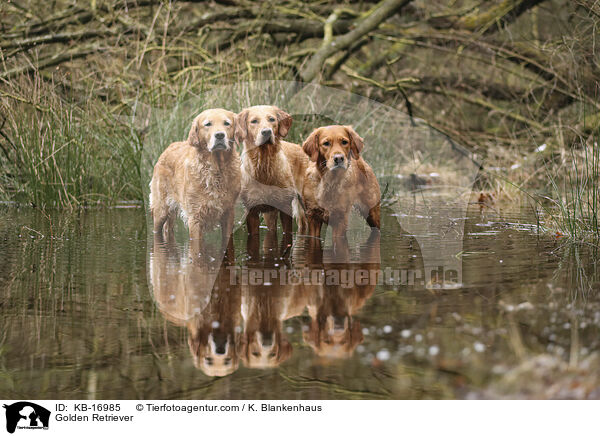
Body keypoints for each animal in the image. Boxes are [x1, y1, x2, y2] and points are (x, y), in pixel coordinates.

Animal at [150, 107, 241, 255]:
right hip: (161, 210)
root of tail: (169, 147)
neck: (216, 169)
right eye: (208, 124)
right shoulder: (195, 217)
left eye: (227, 123)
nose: (220, 135)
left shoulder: (228, 212)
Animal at [236, 104, 310, 245]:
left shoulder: (285, 205)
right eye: (254, 121)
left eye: (272, 119)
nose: (266, 132)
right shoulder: (252, 211)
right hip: (269, 213)